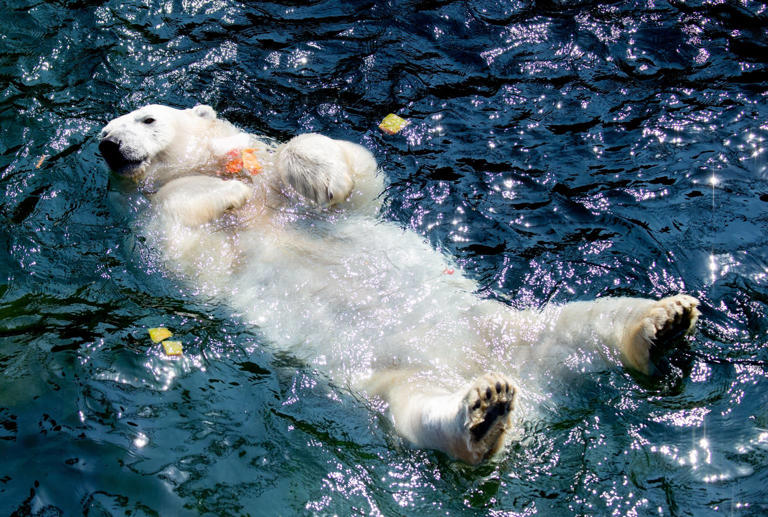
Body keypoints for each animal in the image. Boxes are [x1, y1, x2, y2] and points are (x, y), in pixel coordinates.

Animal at [99, 104, 700, 464]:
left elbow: (353, 170)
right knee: (424, 413)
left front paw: (313, 173)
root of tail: (539, 396)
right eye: (105, 132)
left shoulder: (305, 188)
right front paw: (228, 194)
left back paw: (664, 320)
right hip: (398, 380)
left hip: (507, 324)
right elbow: (179, 235)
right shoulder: (166, 243)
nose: (108, 143)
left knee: (584, 320)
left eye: (146, 118)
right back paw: (486, 412)